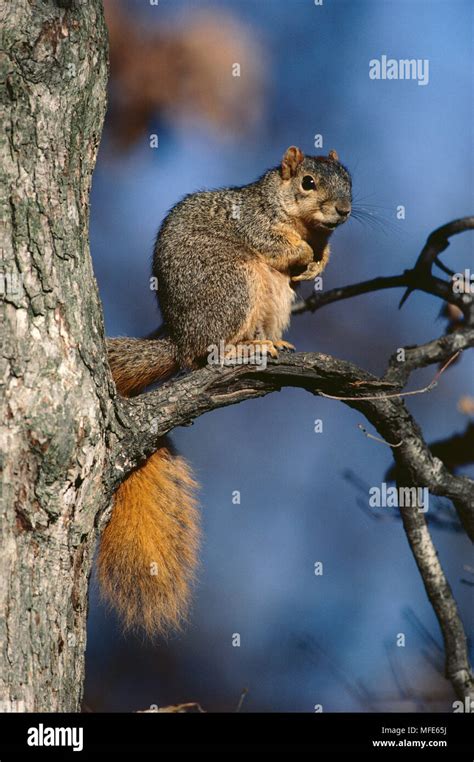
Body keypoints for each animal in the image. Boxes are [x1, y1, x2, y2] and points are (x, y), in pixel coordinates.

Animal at [101, 145, 352, 632]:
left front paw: (319, 263)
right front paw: (300, 252)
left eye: (350, 179)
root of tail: (179, 337)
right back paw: (241, 349)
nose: (344, 211)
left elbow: (315, 260)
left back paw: (267, 341)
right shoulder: (255, 222)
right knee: (206, 355)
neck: (301, 221)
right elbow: (274, 243)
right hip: (234, 282)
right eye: (308, 182)